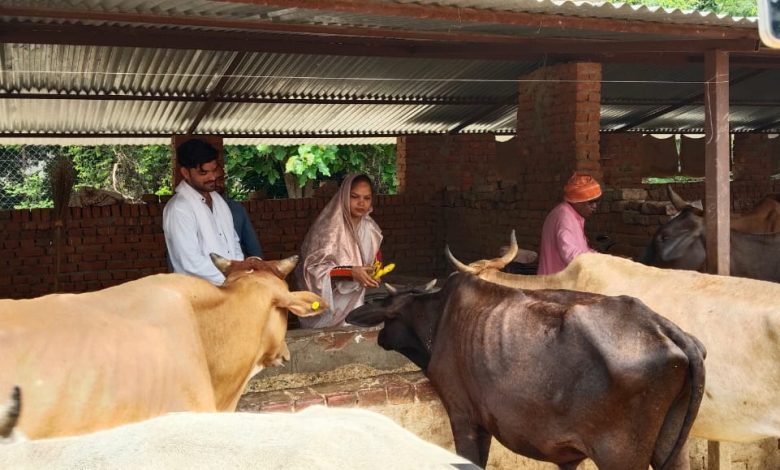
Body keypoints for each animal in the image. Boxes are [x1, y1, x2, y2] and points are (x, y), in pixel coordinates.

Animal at [348, 274, 708, 468]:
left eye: (388, 316)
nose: (379, 337)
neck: (438, 319)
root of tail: (660, 325)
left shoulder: (463, 414)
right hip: (673, 448)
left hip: (620, 455)